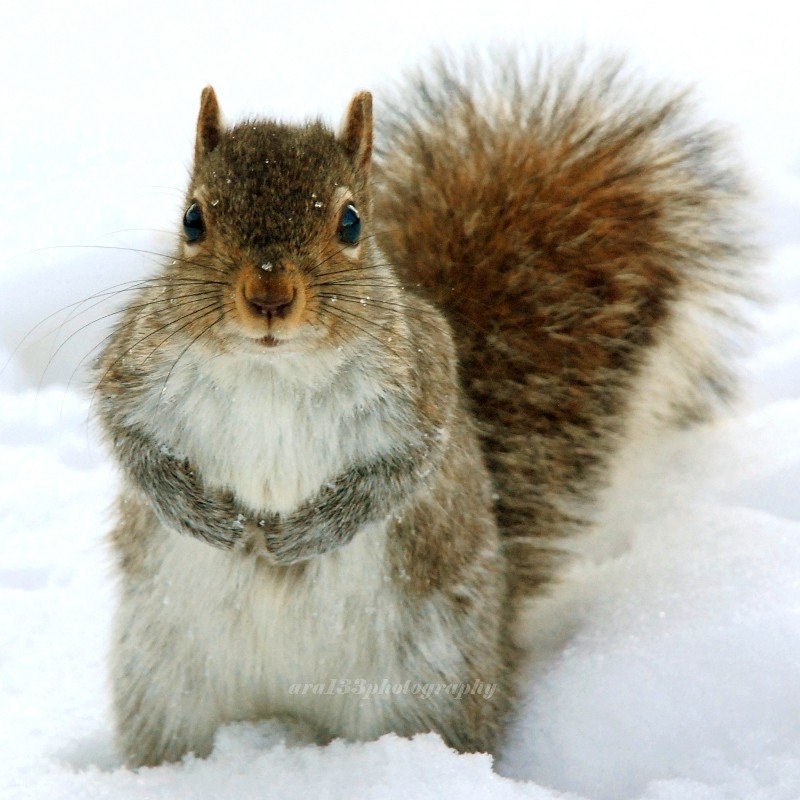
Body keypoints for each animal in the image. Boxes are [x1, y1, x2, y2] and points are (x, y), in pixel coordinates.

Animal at [94, 50, 752, 767]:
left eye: (351, 222)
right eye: (193, 220)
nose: (269, 297)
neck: (272, 368)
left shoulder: (422, 388)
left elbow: (399, 473)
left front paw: (310, 533)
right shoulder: (133, 366)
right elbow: (130, 440)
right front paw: (199, 514)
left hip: (433, 679)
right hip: (164, 690)